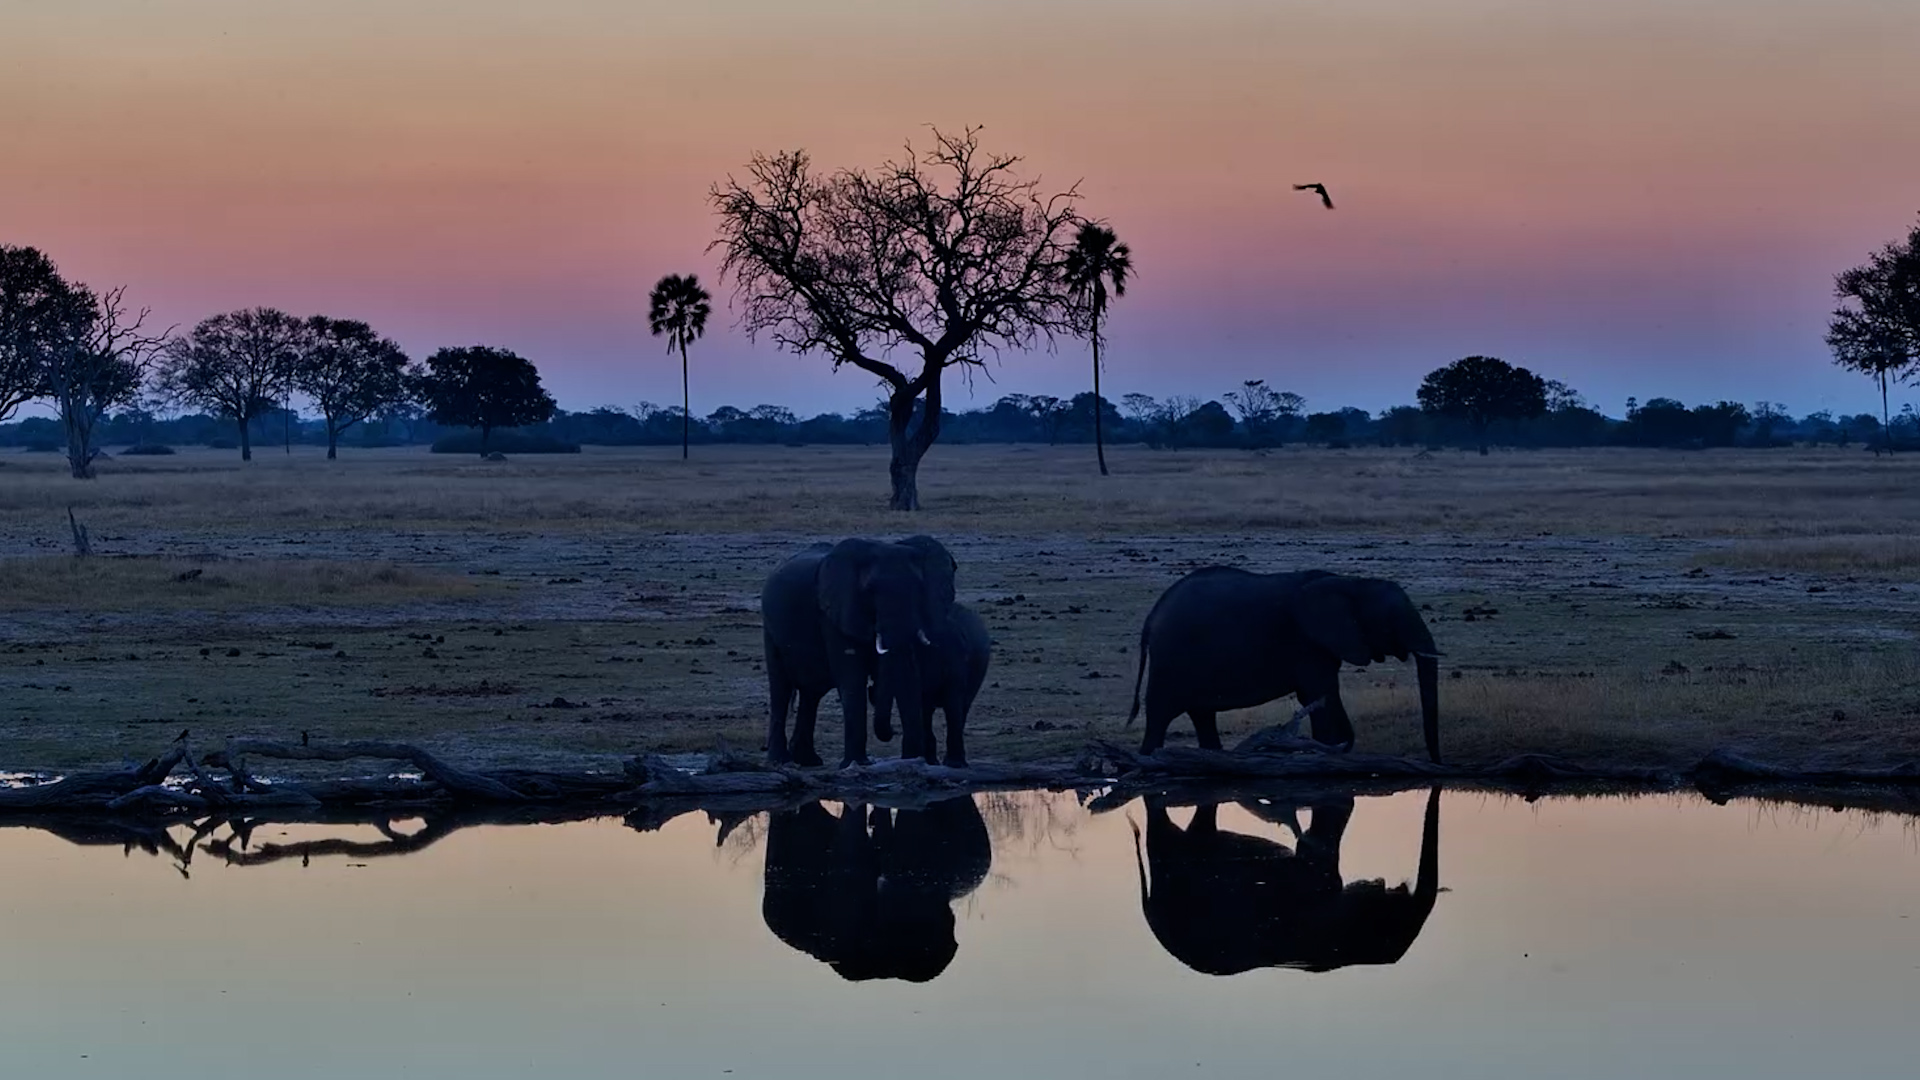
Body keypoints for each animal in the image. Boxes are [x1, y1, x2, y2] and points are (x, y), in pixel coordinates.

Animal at [761, 535, 958, 768]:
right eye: (870, 591)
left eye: (919, 589)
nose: (873, 690)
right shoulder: (834, 613)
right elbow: (851, 678)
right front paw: (856, 764)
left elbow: (909, 677)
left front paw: (912, 760)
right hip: (770, 629)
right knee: (781, 689)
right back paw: (780, 761)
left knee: (812, 693)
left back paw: (809, 761)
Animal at [866, 602, 991, 767]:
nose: (893, 731)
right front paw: (928, 761)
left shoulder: (955, 656)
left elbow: (952, 702)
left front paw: (954, 764)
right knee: (928, 711)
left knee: (962, 707)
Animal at [1126, 567, 1442, 762]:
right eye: (1393, 620)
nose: (1437, 764)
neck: (1352, 583)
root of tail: (1151, 616)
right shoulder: (1308, 643)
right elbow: (1321, 694)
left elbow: (1317, 696)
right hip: (1170, 661)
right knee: (1160, 718)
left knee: (1202, 715)